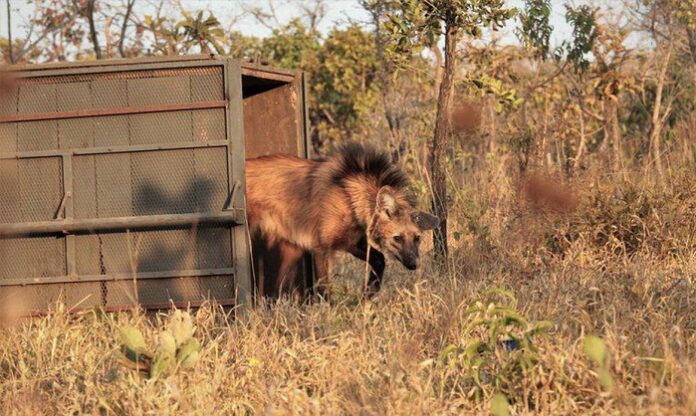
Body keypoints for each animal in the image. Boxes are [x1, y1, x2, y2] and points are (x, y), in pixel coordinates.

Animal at [245, 142, 439, 298]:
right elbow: (325, 289)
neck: (349, 198)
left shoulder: (350, 242)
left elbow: (379, 259)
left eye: (417, 238)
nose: (415, 264)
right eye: (397, 238)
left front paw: (367, 296)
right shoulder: (321, 249)